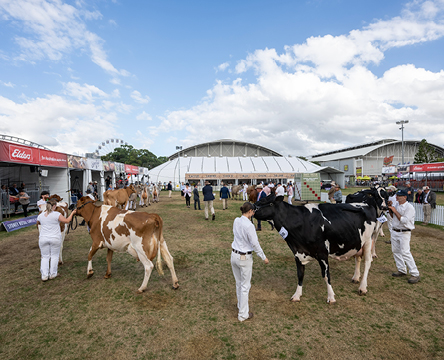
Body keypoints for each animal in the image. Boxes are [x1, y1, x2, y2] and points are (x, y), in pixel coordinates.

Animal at [253, 193, 388, 306]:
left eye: (267, 202)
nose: (252, 206)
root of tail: (366, 204)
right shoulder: (298, 253)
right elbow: (300, 275)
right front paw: (296, 295)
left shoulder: (322, 253)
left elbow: (326, 275)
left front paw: (331, 297)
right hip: (357, 243)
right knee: (358, 258)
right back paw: (355, 278)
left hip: (368, 240)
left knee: (367, 262)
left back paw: (362, 287)